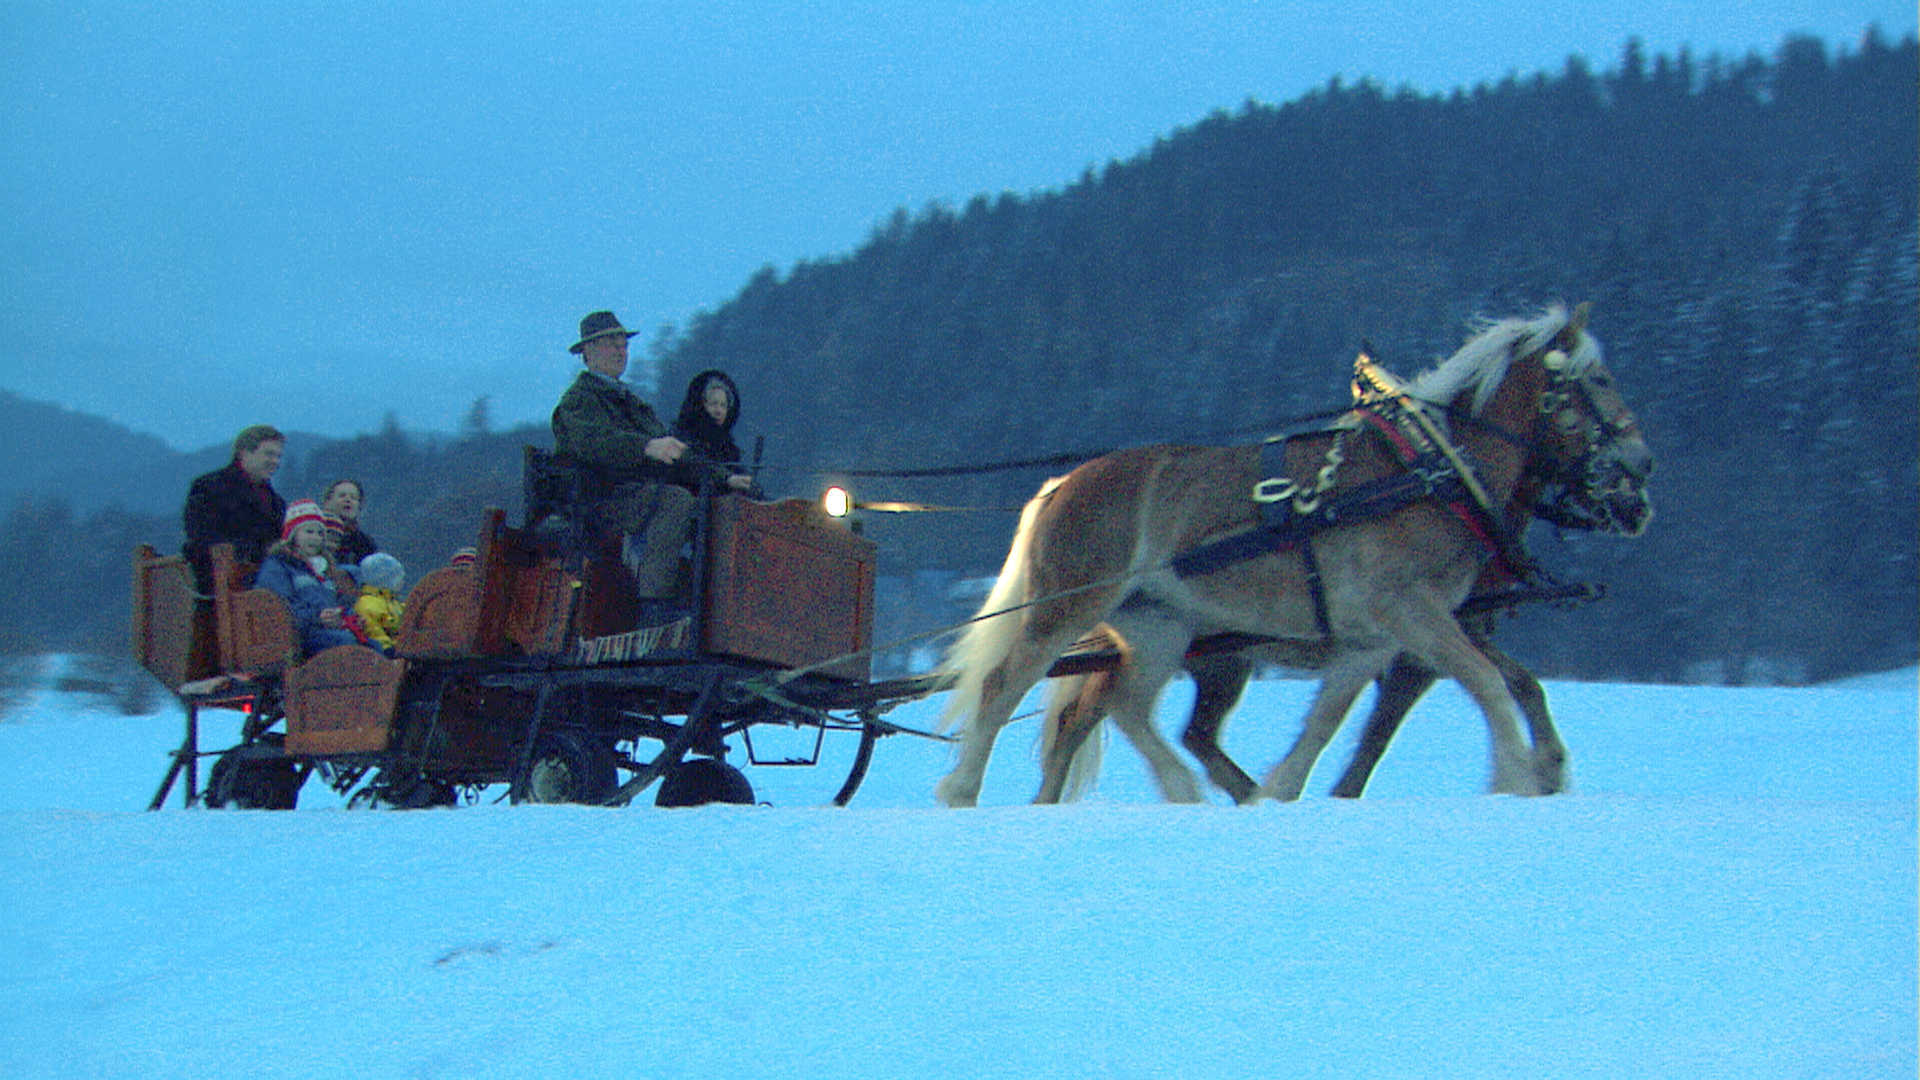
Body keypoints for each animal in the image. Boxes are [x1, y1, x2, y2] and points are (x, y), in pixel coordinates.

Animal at [933, 299, 1651, 799]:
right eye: (1599, 379)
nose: (1641, 473)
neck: (1431, 472)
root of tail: (1060, 486)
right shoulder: (1414, 616)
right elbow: (1487, 684)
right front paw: (1519, 778)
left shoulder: (1375, 639)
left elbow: (1330, 723)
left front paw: (1277, 794)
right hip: (1070, 608)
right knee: (1005, 688)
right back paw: (963, 793)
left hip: (1161, 625)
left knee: (1124, 706)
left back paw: (1182, 792)